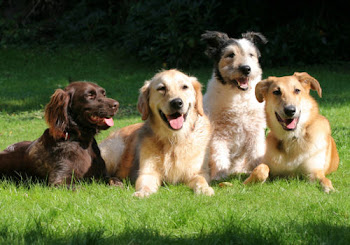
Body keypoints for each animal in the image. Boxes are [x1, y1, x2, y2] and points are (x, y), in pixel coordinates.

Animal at [98, 69, 213, 197]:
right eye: (162, 88)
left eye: (184, 87)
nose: (177, 102)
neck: (174, 139)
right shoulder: (147, 172)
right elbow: (145, 184)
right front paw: (142, 193)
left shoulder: (198, 172)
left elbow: (201, 180)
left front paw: (205, 189)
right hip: (115, 148)